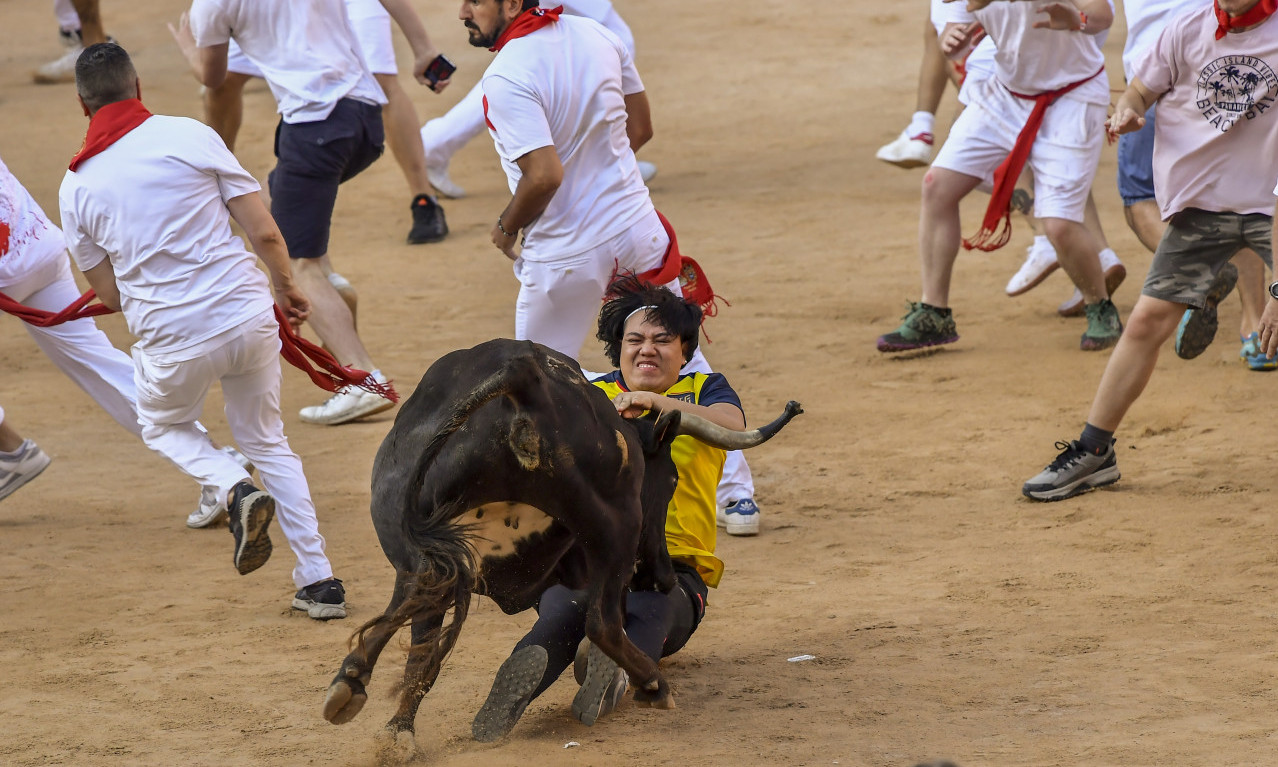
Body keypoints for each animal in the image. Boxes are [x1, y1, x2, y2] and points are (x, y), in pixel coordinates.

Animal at [319, 340, 797, 741]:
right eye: (673, 478)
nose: (661, 579)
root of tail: (522, 380)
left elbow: (421, 648)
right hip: (616, 527)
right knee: (601, 623)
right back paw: (650, 684)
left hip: (418, 555)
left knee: (415, 629)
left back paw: (369, 702)